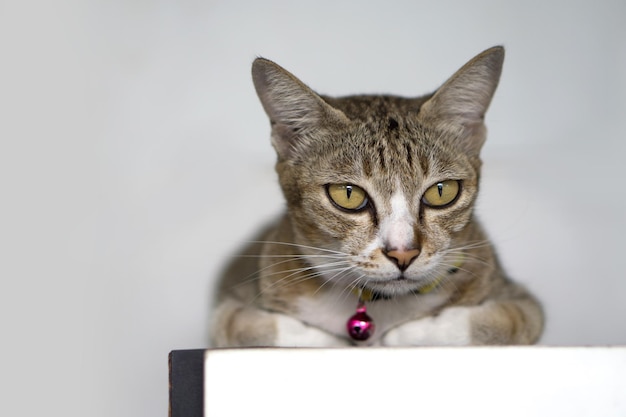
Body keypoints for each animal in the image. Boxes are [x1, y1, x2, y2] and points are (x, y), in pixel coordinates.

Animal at [210, 45, 540, 346]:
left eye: (441, 191)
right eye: (348, 195)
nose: (403, 253)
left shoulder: (521, 303)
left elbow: (503, 320)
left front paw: (411, 333)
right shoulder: (232, 305)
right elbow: (246, 325)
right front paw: (332, 342)